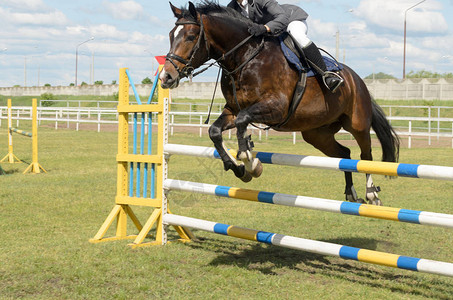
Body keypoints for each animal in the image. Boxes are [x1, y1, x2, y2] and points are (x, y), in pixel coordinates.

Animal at [160, 1, 400, 205]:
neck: (245, 57)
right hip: (317, 133)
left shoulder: (276, 108)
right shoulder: (233, 109)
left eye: (191, 36)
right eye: (171, 35)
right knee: (344, 155)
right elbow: (215, 131)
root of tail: (357, 79)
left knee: (365, 156)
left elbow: (242, 121)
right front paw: (238, 168)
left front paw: (249, 160)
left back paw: (372, 194)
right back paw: (351, 193)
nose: (166, 77)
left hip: (357, 123)